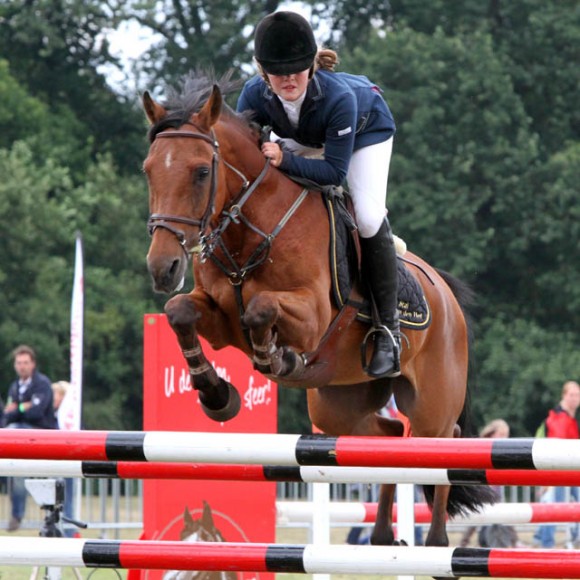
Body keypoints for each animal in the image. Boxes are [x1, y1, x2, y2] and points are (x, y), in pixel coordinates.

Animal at [140, 70, 494, 552]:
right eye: (148, 170)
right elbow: (179, 312)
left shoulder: (310, 318)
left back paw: (437, 541)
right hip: (339, 405)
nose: (163, 268)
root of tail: (445, 293)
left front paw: (275, 357)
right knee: (390, 440)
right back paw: (382, 536)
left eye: (201, 172)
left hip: (431, 407)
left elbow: (260, 309)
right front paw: (217, 395)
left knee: (442, 447)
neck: (250, 232)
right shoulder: (217, 319)